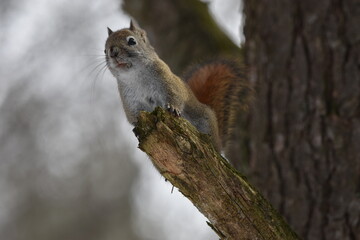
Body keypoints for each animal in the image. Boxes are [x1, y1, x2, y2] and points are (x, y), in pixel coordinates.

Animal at [103, 21, 253, 151]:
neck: (135, 75)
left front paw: (173, 108)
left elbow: (175, 96)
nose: (113, 52)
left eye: (132, 41)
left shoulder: (168, 83)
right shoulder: (131, 101)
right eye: (105, 50)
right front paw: (136, 127)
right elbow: (135, 116)